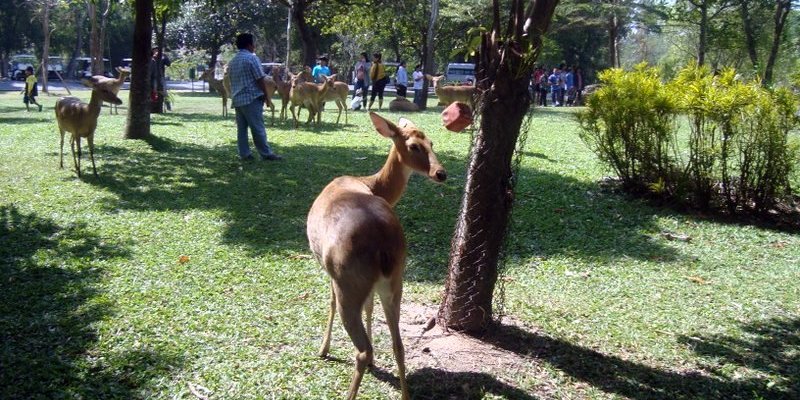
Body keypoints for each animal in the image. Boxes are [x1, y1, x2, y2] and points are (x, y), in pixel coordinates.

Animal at [306, 111, 446, 400]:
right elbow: (370, 308)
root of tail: (383, 246)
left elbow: (330, 303)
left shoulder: (329, 270)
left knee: (361, 348)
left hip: (348, 279)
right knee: (398, 343)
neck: (368, 182)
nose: (441, 173)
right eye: (416, 145)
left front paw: (323, 349)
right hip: (395, 281)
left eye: (432, 143)